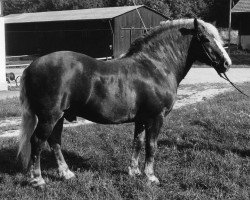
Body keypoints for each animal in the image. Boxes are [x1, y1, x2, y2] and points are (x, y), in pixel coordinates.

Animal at [18, 18, 232, 188]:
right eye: (205, 39)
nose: (227, 63)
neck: (155, 66)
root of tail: (31, 67)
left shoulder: (142, 119)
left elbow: (138, 142)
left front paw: (134, 172)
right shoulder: (156, 118)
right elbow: (151, 145)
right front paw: (150, 177)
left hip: (59, 116)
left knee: (54, 141)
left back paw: (66, 173)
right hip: (49, 117)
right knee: (37, 142)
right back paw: (37, 180)